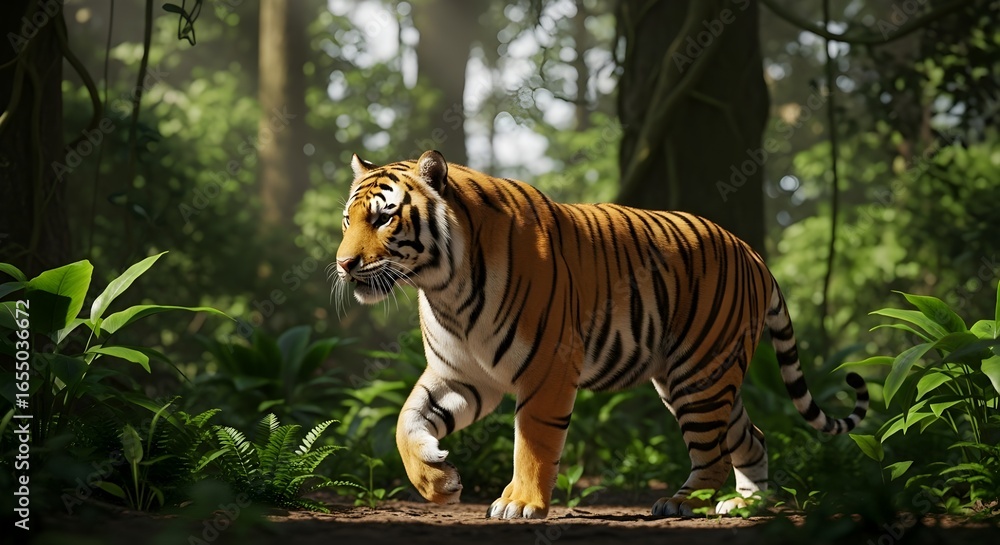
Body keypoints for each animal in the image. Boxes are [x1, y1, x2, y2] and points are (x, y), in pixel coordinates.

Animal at [334, 150, 869, 519]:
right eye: (347, 220)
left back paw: (682, 503)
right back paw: (746, 506)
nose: (343, 264)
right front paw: (437, 481)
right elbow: (406, 422)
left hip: (699, 374)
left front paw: (521, 503)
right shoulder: (461, 374)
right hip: (700, 378)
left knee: (713, 453)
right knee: (750, 437)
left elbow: (533, 442)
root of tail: (754, 253)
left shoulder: (547, 368)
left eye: (384, 217)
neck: (444, 285)